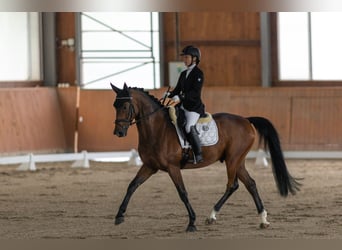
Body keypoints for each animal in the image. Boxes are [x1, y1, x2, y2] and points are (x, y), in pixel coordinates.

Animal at [111, 83, 300, 232]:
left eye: (125, 106)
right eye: (115, 105)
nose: (118, 132)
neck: (157, 129)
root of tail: (246, 120)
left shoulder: (173, 168)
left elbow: (182, 193)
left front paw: (192, 223)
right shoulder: (150, 166)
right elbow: (132, 186)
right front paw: (119, 216)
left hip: (233, 160)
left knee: (232, 185)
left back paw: (212, 216)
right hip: (237, 161)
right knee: (250, 184)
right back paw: (262, 219)